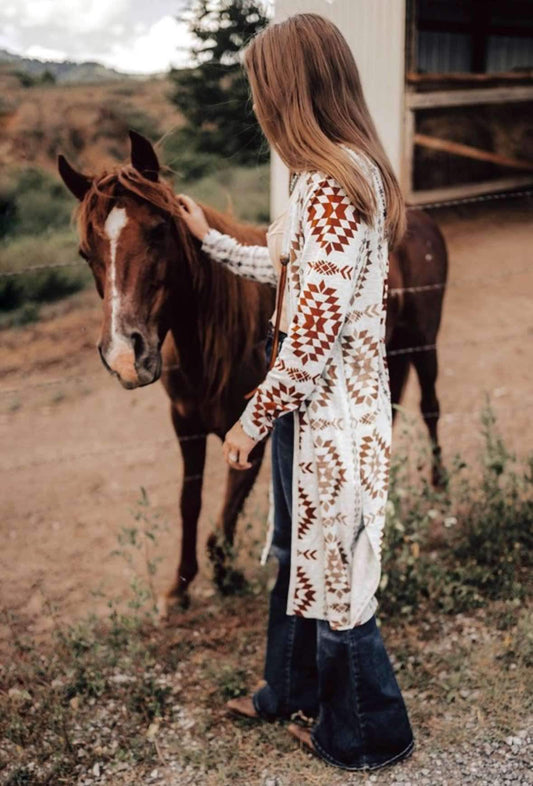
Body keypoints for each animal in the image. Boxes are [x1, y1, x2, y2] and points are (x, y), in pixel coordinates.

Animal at [58, 129, 446, 608]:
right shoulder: (185, 427)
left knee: (430, 407)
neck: (209, 351)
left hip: (424, 343)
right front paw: (180, 585)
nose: (124, 357)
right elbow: (190, 503)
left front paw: (225, 573)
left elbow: (227, 510)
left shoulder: (249, 437)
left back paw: (440, 483)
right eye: (86, 253)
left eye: (158, 230)